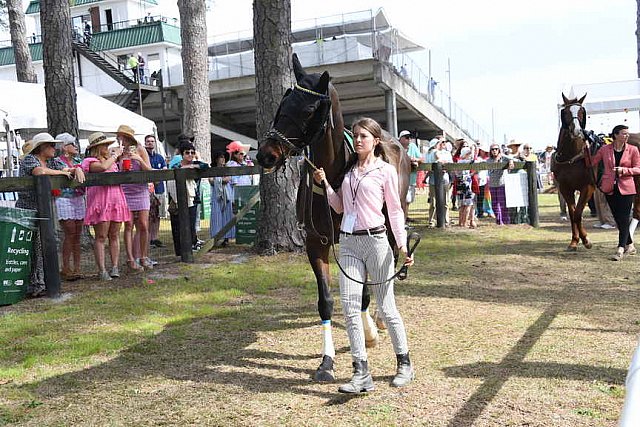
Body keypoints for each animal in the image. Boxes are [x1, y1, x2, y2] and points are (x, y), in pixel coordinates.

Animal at [255, 54, 410, 382]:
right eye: (283, 102)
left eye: (309, 110)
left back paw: (378, 319)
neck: (336, 174)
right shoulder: (316, 242)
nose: (266, 154)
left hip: (392, 224)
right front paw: (326, 361)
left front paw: (368, 333)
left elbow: (362, 291)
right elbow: (326, 302)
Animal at [552, 92, 596, 249]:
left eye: (582, 111)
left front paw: (586, 240)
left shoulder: (588, 187)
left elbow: (578, 213)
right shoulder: (566, 188)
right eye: (565, 112)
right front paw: (574, 241)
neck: (572, 158)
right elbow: (572, 214)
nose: (577, 130)